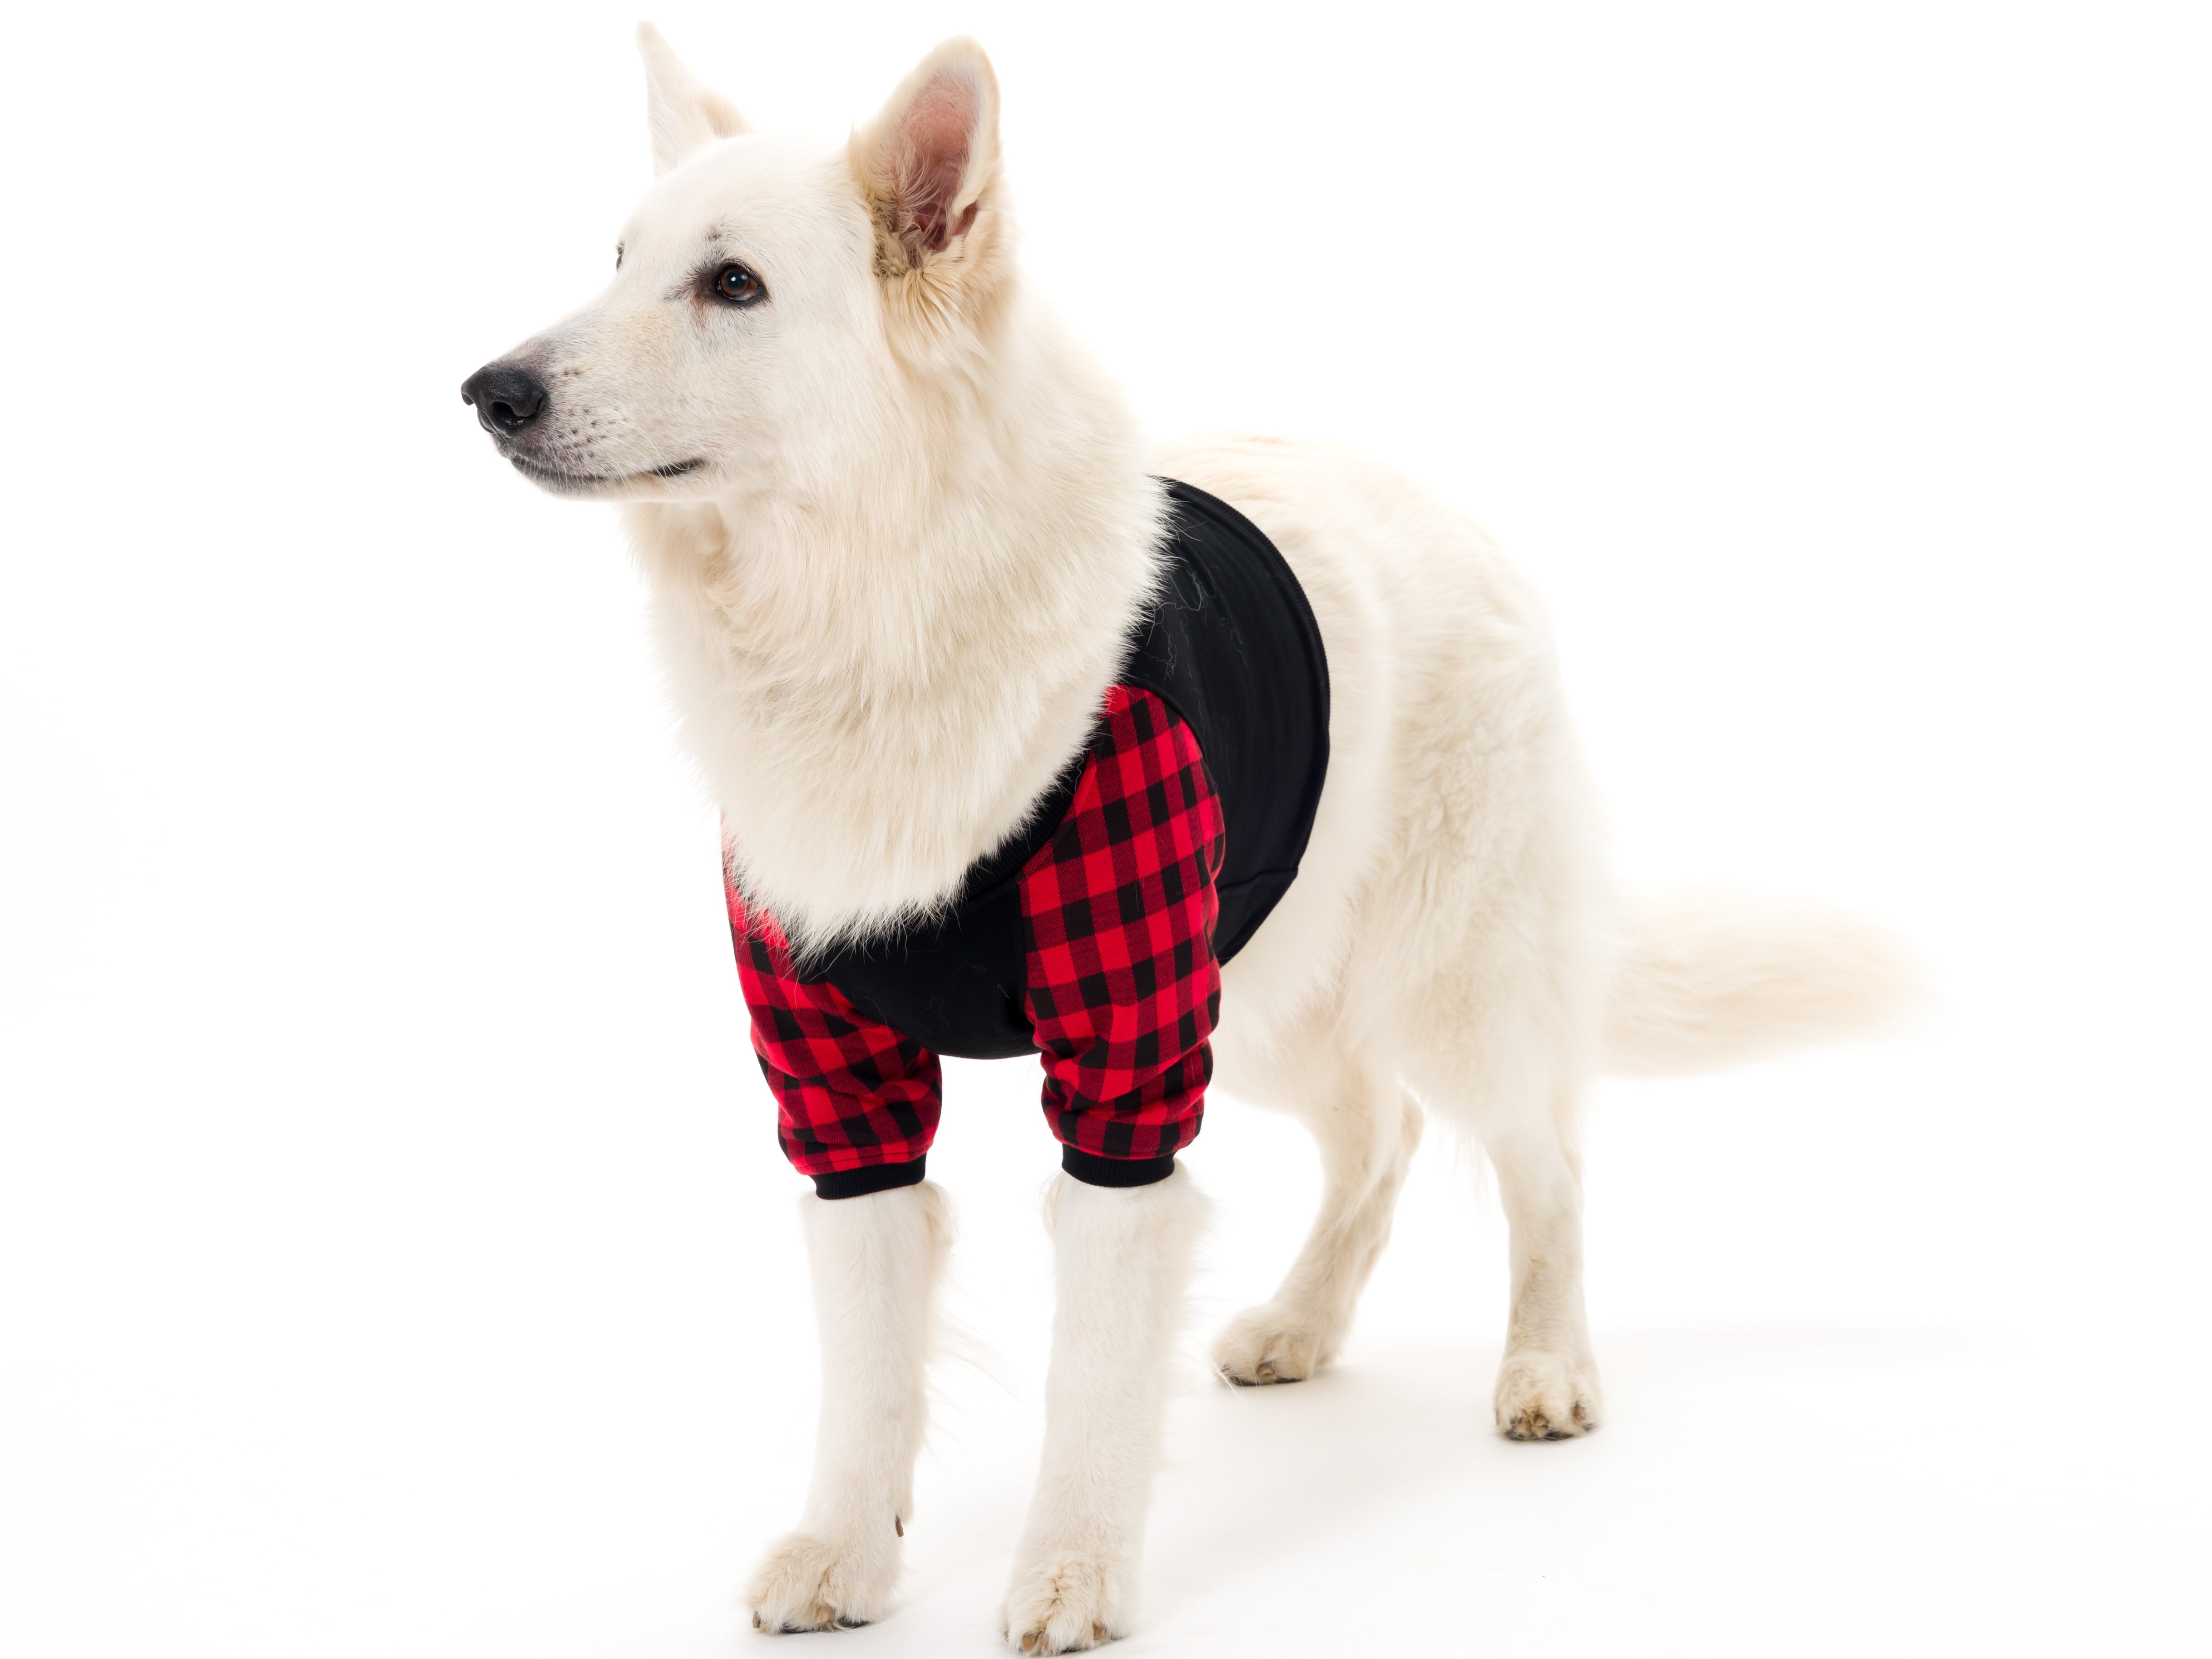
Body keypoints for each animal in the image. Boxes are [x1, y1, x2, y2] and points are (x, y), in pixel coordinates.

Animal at [461, 27, 1913, 1652]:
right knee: (1382, 1134)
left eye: (732, 284)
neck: (873, 602)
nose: (489, 390)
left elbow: (1096, 1355)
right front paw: (845, 1543)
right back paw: (1302, 1320)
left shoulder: (1128, 1049)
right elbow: (867, 1349)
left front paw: (1072, 1565)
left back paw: (1546, 1361)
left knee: (1542, 1156)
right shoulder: (839, 1074)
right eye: (618, 261)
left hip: (1442, 978)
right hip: (1266, 982)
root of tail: (1451, 510)